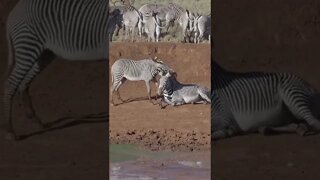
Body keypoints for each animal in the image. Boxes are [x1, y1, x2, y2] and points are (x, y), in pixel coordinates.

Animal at [2, 0, 110, 139]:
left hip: (45, 53)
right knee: (10, 84)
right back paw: (9, 130)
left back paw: (35, 121)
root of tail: (15, 9)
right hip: (28, 46)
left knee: (23, 82)